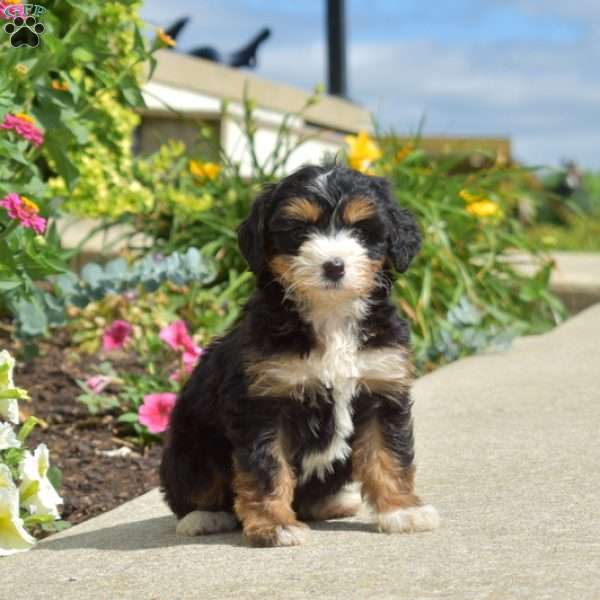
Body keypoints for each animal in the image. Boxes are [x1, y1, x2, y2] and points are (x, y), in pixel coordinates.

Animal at [162, 165, 438, 548]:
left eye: (360, 230)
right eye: (299, 230)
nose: (334, 266)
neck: (331, 317)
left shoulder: (381, 390)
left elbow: (389, 456)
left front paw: (402, 511)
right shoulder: (263, 404)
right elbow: (267, 470)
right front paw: (275, 526)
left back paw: (333, 502)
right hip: (190, 443)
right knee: (192, 489)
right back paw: (202, 517)